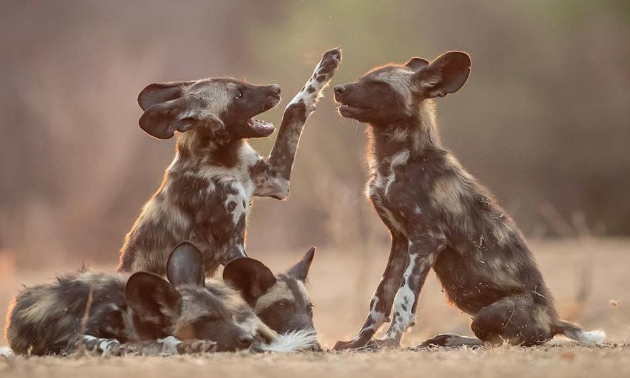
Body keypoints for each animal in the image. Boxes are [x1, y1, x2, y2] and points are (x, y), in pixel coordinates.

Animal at [119, 48, 340, 276]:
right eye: (238, 96)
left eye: (243, 85)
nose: (276, 88)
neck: (224, 161)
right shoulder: (231, 248)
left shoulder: (276, 180)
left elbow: (295, 107)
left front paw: (328, 64)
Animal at [334, 51, 604, 350]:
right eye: (363, 79)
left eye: (379, 86)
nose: (338, 89)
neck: (396, 160)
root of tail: (553, 320)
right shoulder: (402, 241)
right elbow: (380, 299)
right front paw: (357, 342)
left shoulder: (427, 239)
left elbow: (404, 299)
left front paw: (389, 342)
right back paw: (444, 338)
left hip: (489, 314)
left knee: (494, 340)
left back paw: (452, 339)